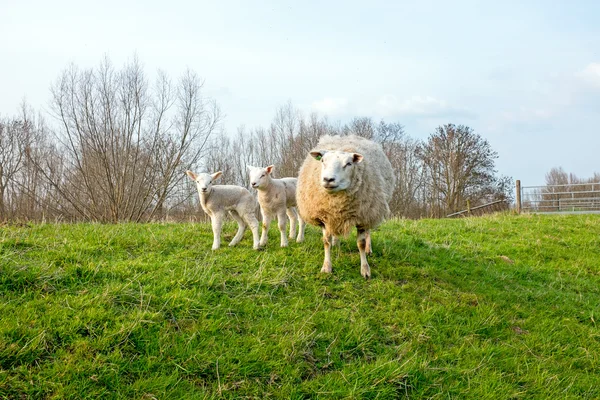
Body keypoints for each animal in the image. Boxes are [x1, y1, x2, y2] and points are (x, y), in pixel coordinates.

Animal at [296, 134, 394, 278]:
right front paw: (326, 267)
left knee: (368, 232)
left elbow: (361, 243)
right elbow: (326, 241)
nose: (328, 179)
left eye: (349, 163)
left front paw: (365, 269)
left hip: (372, 210)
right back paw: (336, 243)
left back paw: (369, 249)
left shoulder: (363, 217)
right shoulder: (325, 217)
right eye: (322, 160)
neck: (336, 202)